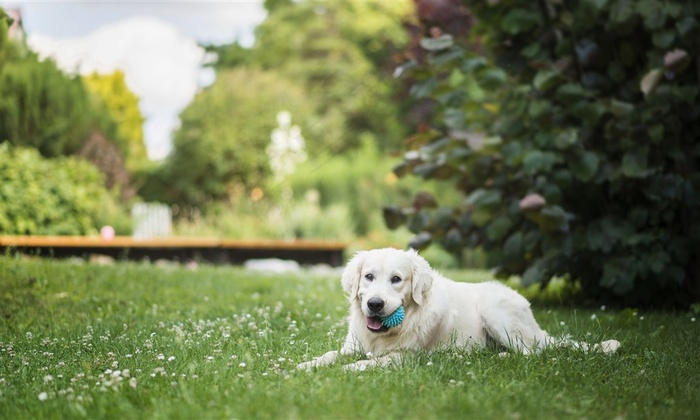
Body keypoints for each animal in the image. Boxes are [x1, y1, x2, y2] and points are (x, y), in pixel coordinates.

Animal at [296, 248, 616, 370]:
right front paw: (304, 366)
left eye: (397, 279)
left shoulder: (404, 357)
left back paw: (501, 357)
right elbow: (329, 355)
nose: (374, 304)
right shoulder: (352, 346)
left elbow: (366, 363)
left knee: (532, 351)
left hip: (495, 312)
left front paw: (346, 371)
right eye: (369, 277)